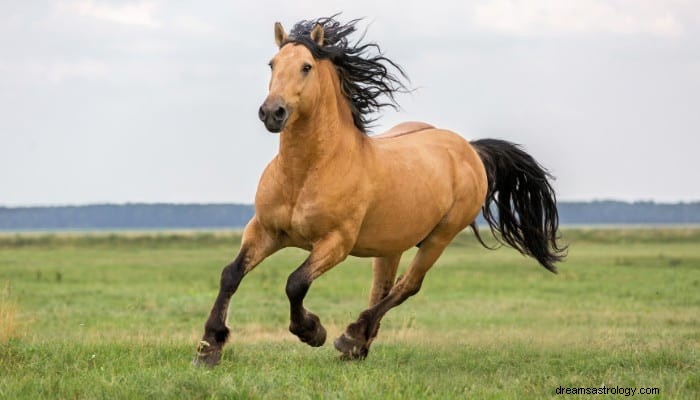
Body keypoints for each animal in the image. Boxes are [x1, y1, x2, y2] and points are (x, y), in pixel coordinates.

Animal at [194, 15, 568, 366]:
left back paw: (350, 337)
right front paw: (209, 347)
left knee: (407, 286)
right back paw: (358, 346)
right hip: (391, 245)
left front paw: (312, 331)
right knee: (382, 288)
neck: (306, 172)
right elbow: (231, 275)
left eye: (306, 66)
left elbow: (295, 282)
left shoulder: (335, 243)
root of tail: (469, 149)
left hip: (440, 237)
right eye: (272, 64)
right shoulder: (265, 230)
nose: (273, 112)